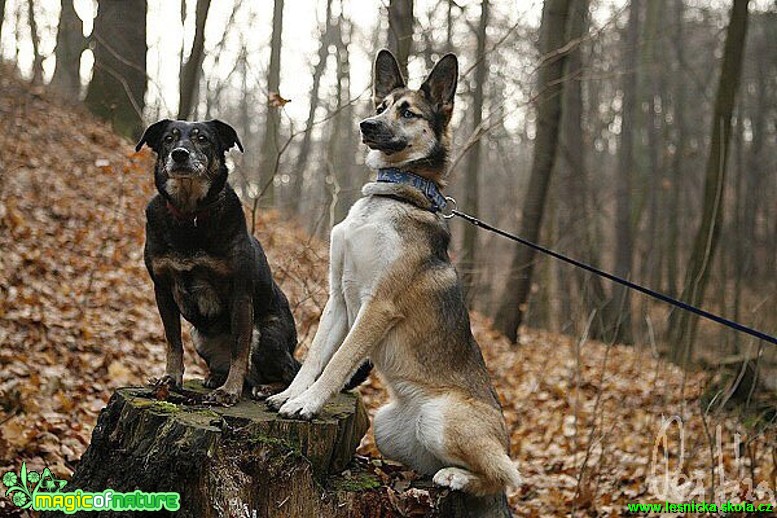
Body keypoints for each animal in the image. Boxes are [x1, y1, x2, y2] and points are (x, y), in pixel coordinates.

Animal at [137, 121, 300, 406]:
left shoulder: (241, 295)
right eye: (168, 139)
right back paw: (216, 377)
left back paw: (267, 388)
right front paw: (170, 379)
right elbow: (173, 342)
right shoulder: (162, 290)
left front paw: (229, 391)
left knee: (290, 373)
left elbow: (239, 349)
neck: (190, 217)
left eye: (203, 139)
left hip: (267, 334)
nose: (179, 154)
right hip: (199, 336)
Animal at [268, 50, 520, 498]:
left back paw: (457, 477)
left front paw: (307, 404)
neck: (389, 195)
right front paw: (290, 394)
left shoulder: (377, 305)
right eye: (381, 105)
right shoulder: (339, 300)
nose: (366, 124)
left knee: (506, 476)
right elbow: (315, 357)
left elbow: (339, 361)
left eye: (408, 112)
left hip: (441, 417)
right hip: (387, 426)